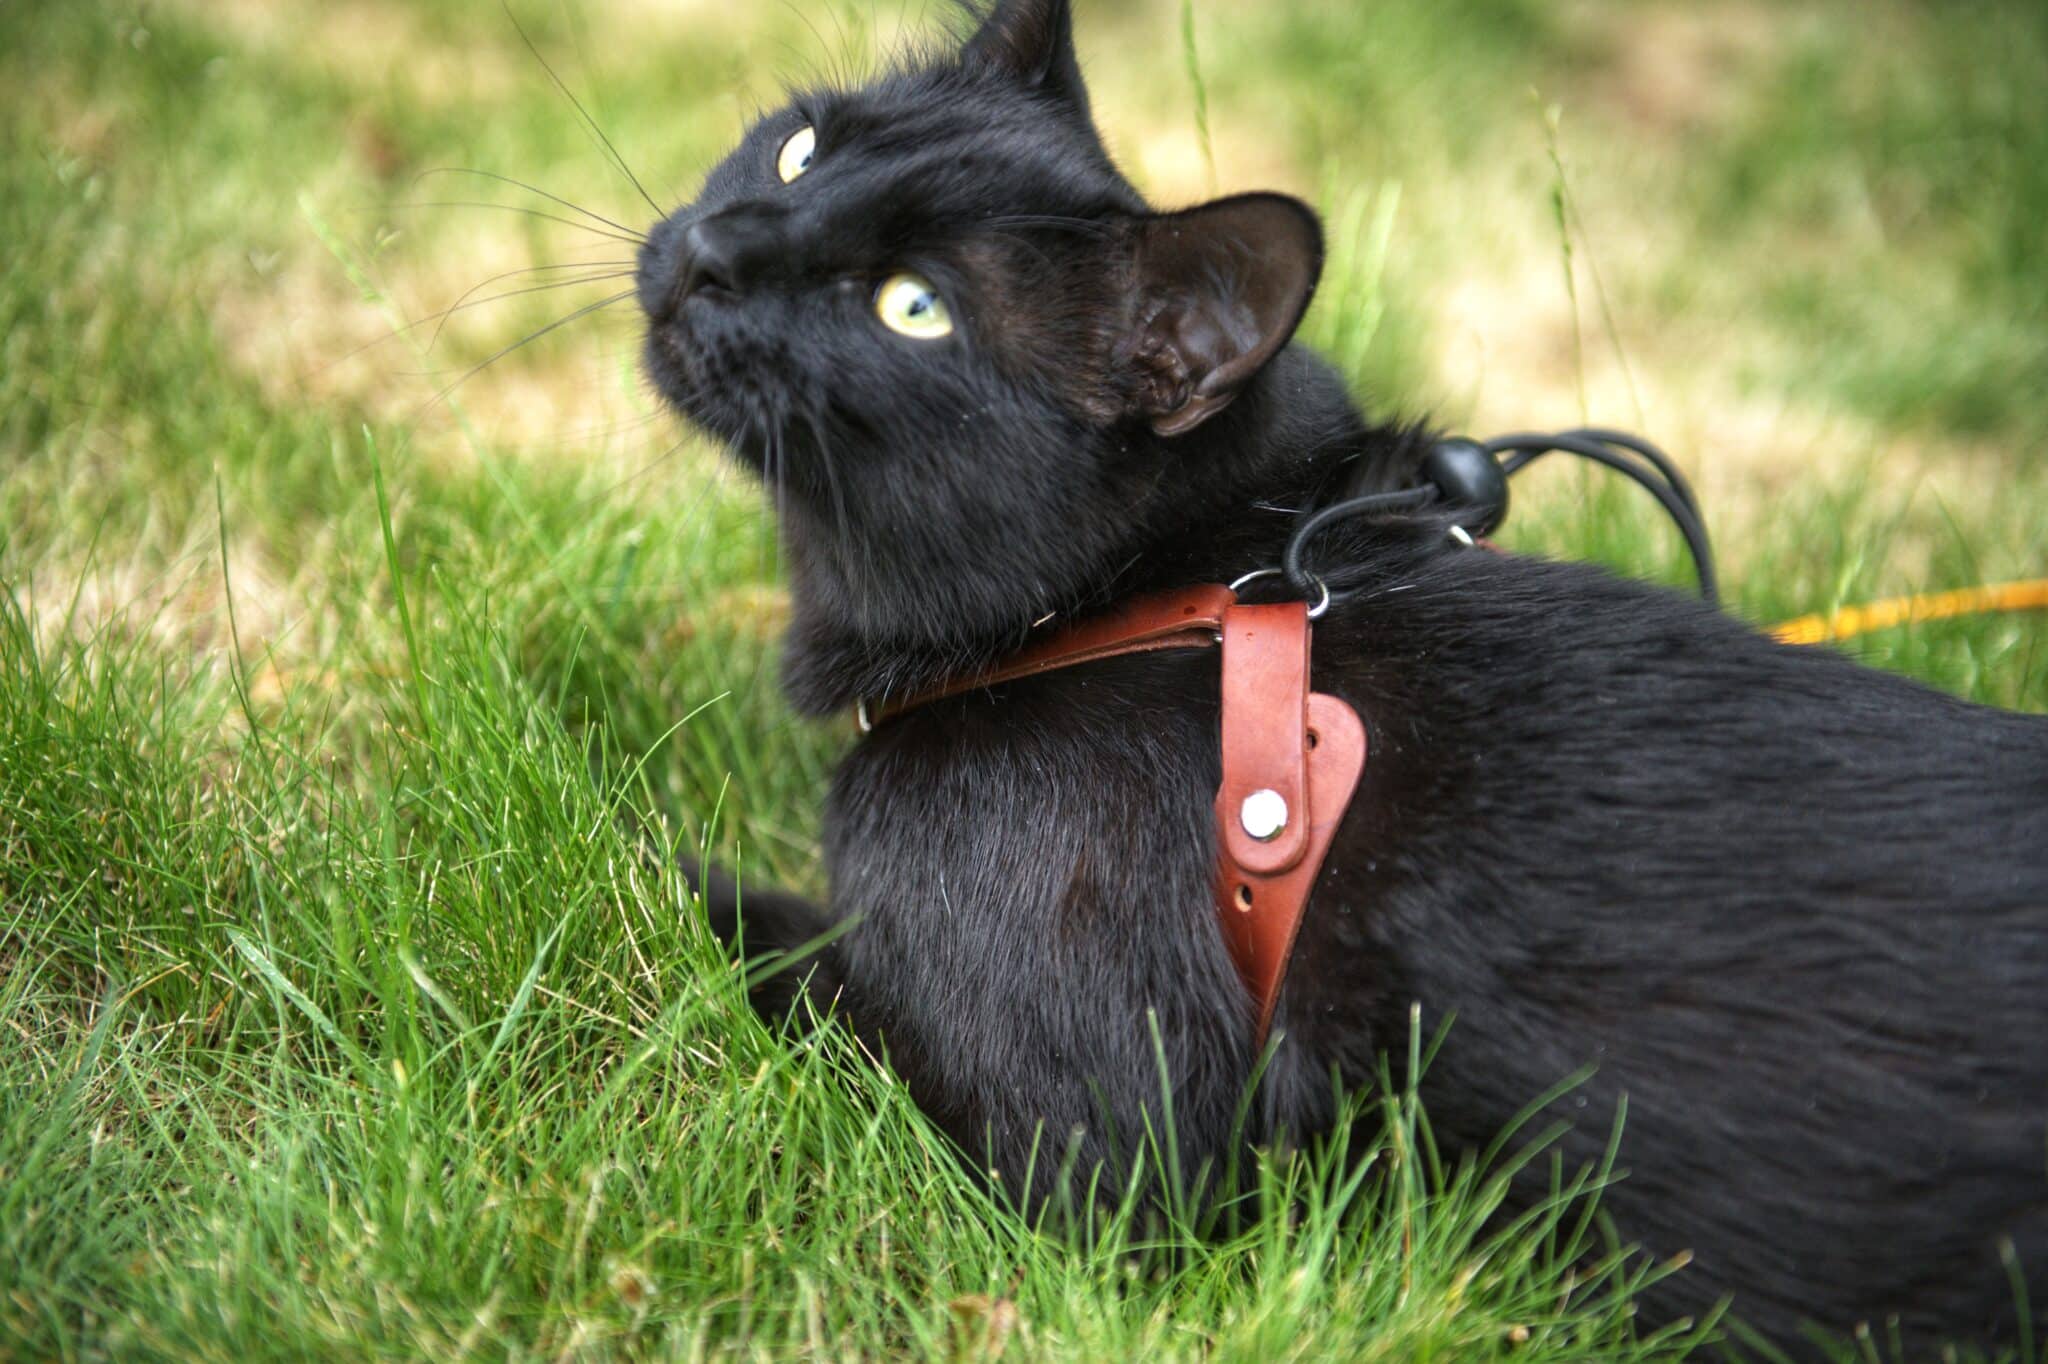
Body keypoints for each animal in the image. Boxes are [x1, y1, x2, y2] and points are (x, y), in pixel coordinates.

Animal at [630, 0, 2039, 1343]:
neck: (1157, 596)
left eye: (911, 307)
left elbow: (775, 954)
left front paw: (642, 851)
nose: (712, 251)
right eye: (801, 147)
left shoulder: (1100, 1172)